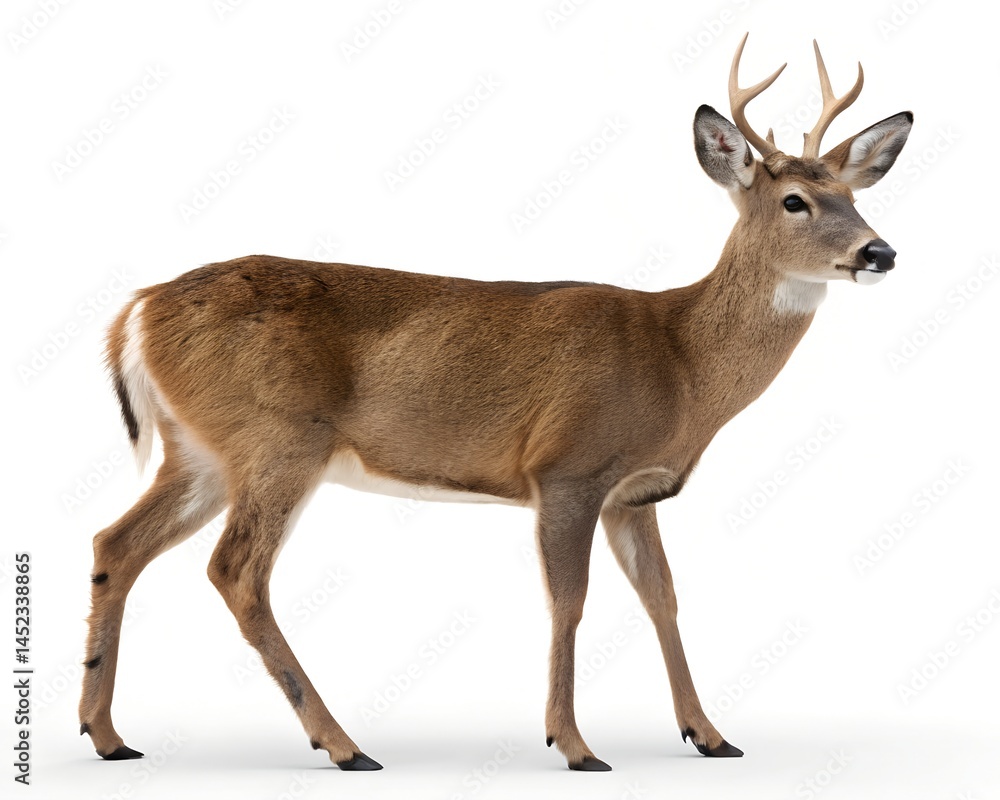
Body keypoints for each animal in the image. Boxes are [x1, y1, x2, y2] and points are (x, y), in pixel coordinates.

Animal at [79, 33, 912, 771]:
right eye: (796, 201)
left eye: (853, 195)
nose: (880, 252)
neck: (679, 360)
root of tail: (138, 309)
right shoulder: (568, 467)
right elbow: (570, 601)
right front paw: (574, 745)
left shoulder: (634, 492)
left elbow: (664, 598)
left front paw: (709, 735)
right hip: (278, 439)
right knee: (235, 571)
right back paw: (343, 745)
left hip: (200, 451)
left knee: (116, 544)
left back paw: (108, 734)